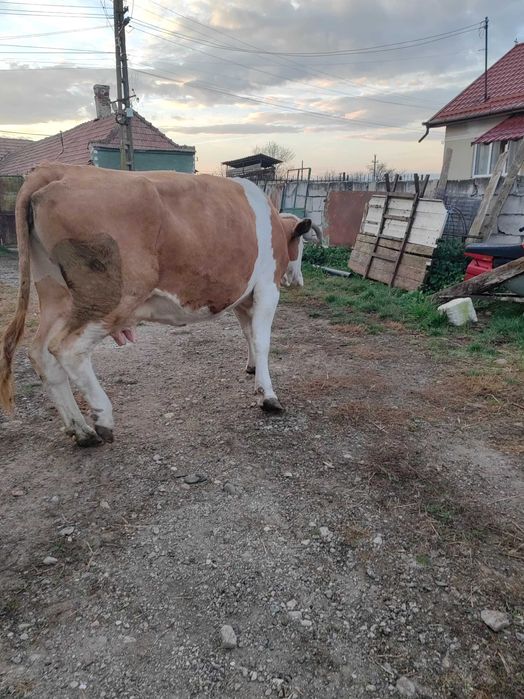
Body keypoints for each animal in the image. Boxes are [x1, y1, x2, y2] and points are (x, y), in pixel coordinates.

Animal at [0, 163, 311, 446]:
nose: (299, 280)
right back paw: (103, 418)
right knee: (67, 349)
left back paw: (82, 431)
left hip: (56, 294)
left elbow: (247, 333)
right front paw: (268, 396)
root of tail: (58, 169)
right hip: (111, 296)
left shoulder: (243, 297)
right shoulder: (268, 287)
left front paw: (251, 368)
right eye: (302, 244)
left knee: (40, 353)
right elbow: (262, 340)